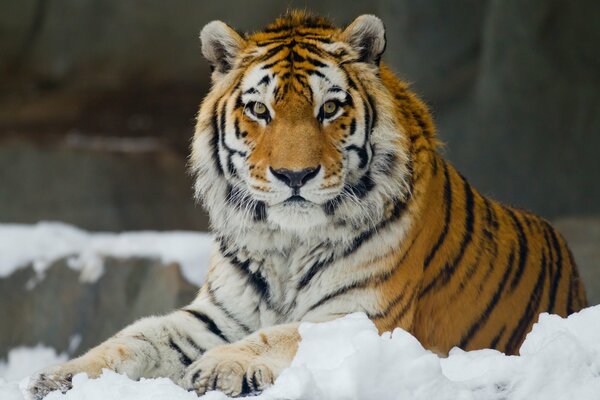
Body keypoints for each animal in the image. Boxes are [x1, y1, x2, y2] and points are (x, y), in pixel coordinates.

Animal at [28, 10, 584, 400]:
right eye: (259, 109)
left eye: (330, 108)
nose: (294, 176)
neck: (287, 244)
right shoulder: (215, 315)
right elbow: (135, 337)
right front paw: (58, 377)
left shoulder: (363, 317)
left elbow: (279, 335)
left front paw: (216, 368)